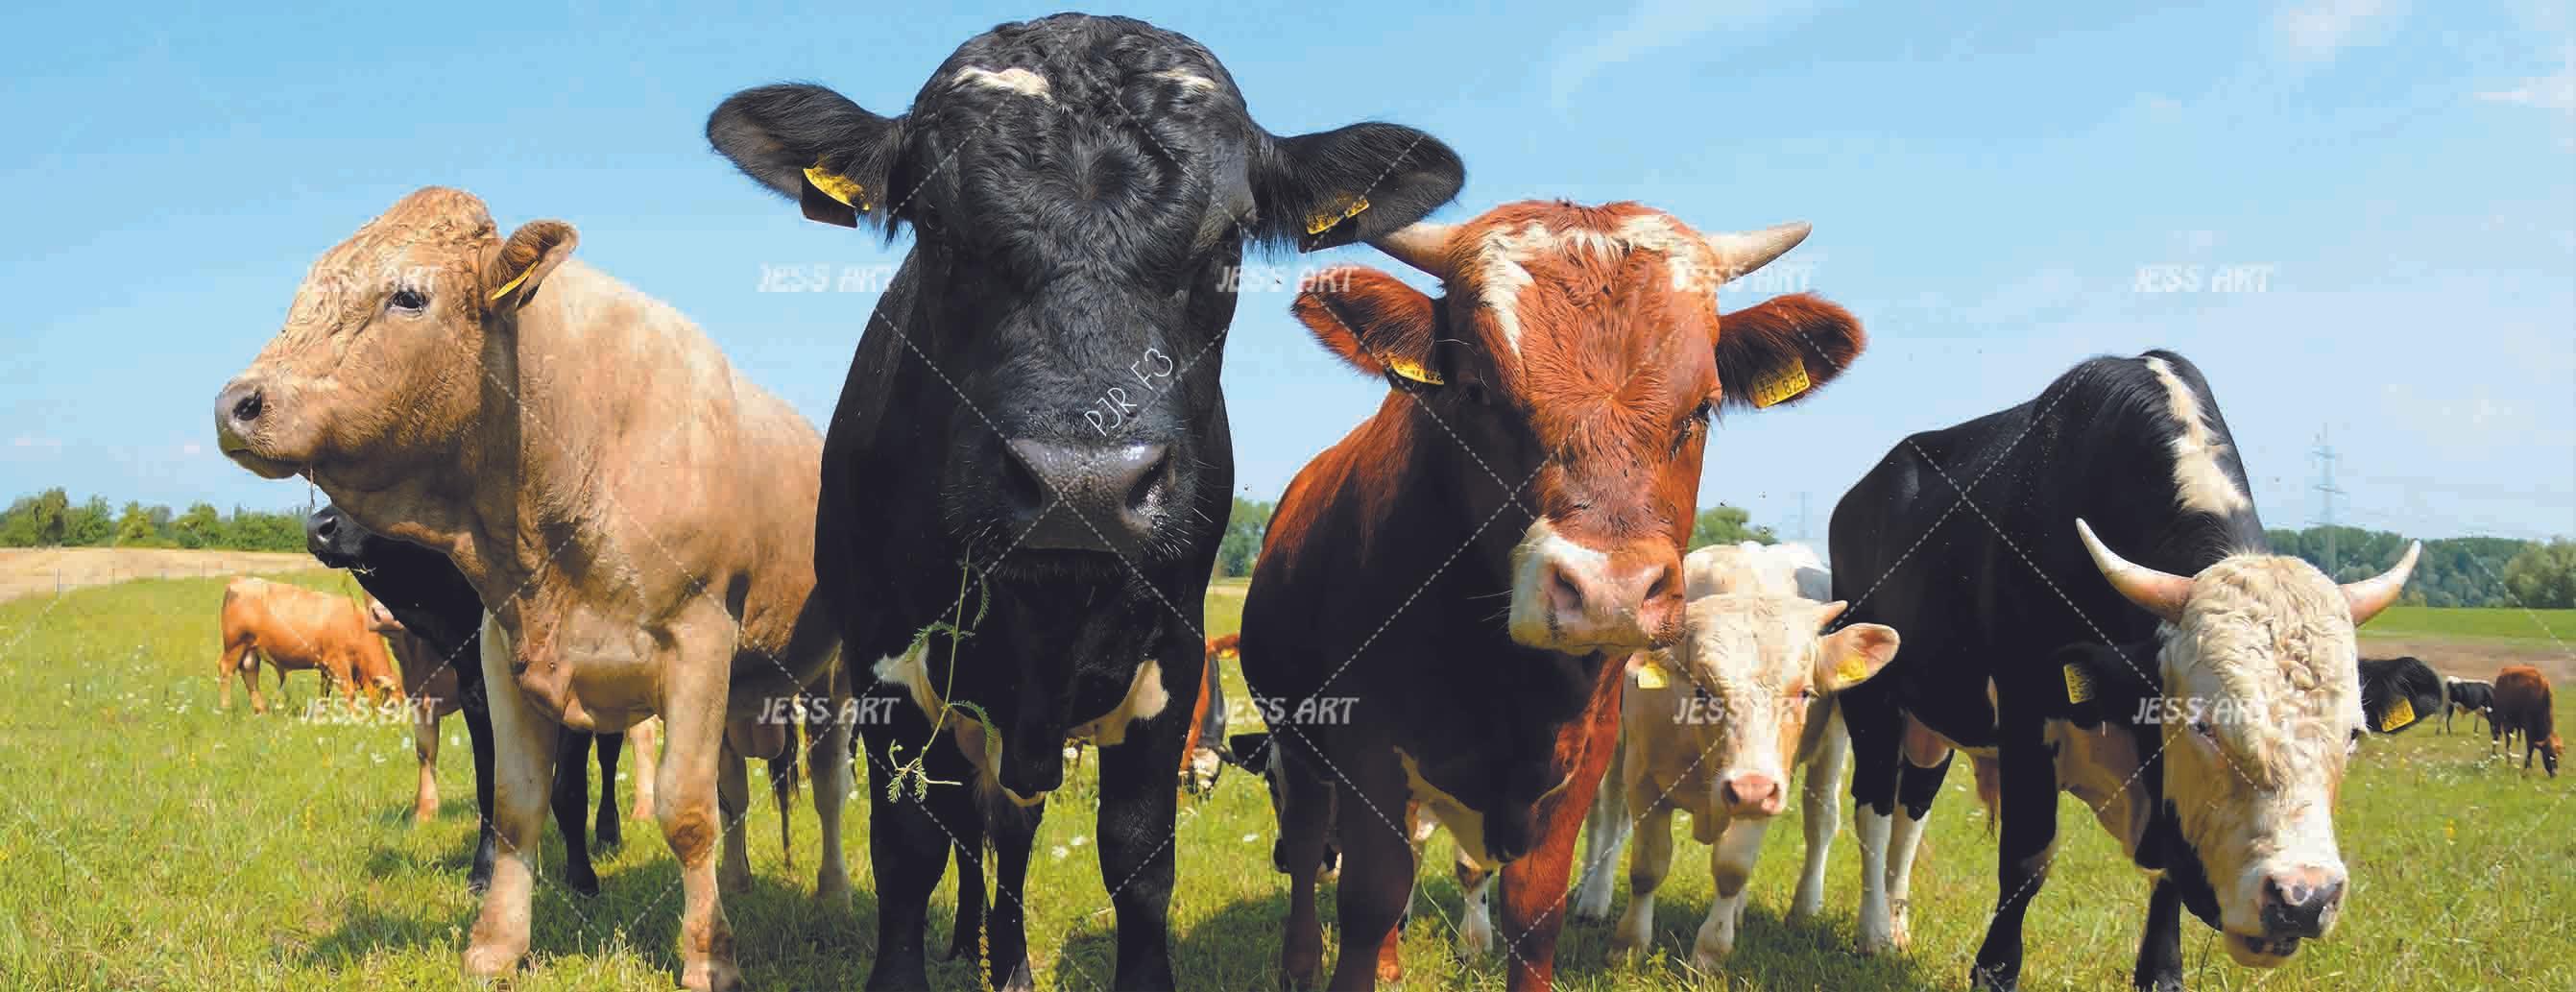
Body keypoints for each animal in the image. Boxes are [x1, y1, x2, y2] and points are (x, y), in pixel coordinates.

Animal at [215, 576, 399, 714]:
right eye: (393, 704)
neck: (356, 624)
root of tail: (239, 581)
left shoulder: (327, 668)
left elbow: (324, 693)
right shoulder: (338, 662)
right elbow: (350, 692)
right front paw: (354, 716)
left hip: (250, 649)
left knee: (250, 673)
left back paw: (262, 711)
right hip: (235, 645)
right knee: (226, 670)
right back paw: (227, 709)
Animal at [309, 504, 655, 895]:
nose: (318, 527)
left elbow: (570, 791)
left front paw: (581, 878)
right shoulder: (476, 695)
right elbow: (488, 788)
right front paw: (484, 872)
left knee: (610, 758)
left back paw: (609, 832)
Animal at [704, 14, 1462, 991]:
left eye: (1228, 242)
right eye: (934, 227)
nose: (1081, 482)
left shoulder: (1172, 660)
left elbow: (1137, 856)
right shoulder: (885, 664)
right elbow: (909, 847)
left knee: (1011, 829)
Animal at [1239, 200, 1864, 991]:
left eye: (1701, 408)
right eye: (1477, 391)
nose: (1610, 590)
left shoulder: (1585, 755)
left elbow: (1534, 910)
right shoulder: (1363, 742)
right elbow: (1371, 893)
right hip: (1295, 736)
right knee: (1305, 840)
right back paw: (1299, 961)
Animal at [1827, 351, 2442, 991]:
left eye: (2353, 734)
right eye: (2204, 726)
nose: (2302, 898)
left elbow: (2166, 882)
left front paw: (2163, 970)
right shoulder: (2026, 714)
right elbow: (2027, 858)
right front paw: (1993, 969)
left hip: (1936, 722)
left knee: (1911, 812)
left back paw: (1898, 927)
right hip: (1872, 698)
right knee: (1874, 806)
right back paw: (1874, 932)